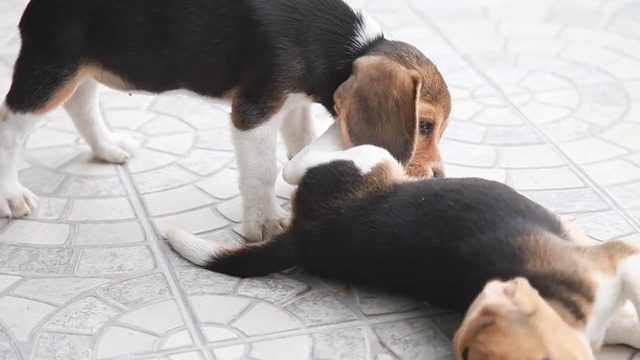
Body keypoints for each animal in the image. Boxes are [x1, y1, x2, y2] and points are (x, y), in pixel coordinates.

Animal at [0, 0, 450, 243]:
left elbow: (302, 144)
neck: (343, 45)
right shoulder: (254, 111)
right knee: (11, 125)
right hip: (52, 66)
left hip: (85, 66)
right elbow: (263, 170)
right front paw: (265, 222)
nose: (437, 176)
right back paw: (11, 195)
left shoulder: (293, 103)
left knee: (82, 102)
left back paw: (107, 146)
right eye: (424, 126)